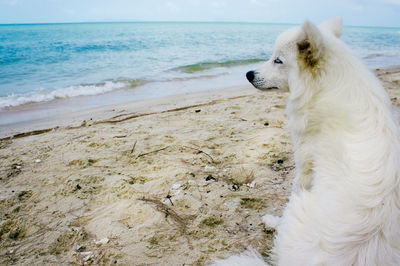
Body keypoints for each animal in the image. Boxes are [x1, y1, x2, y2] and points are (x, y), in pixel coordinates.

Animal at [216, 17, 400, 266]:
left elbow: (295, 187)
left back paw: (272, 222)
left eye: (278, 60)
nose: (248, 74)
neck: (327, 87)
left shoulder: (305, 158)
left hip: (300, 207)